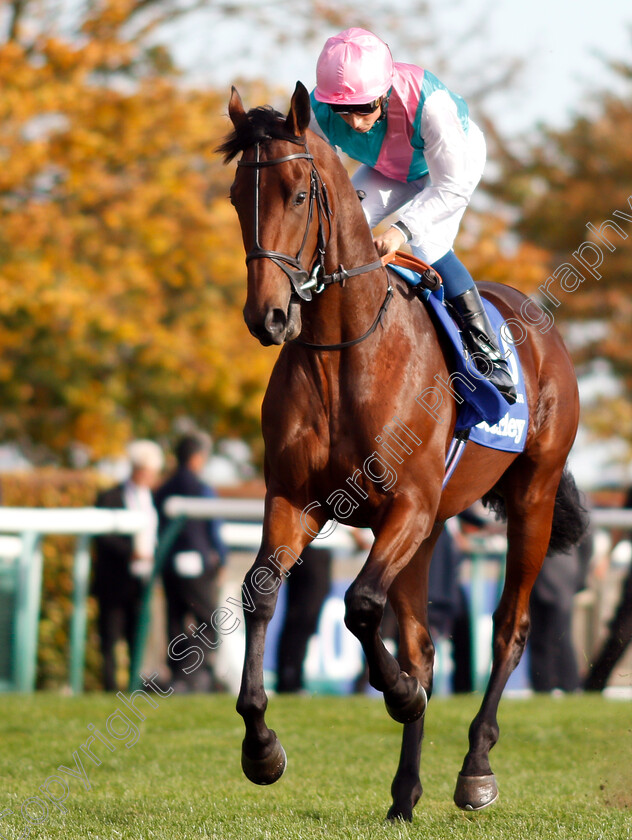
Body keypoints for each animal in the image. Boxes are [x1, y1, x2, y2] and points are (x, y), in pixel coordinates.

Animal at [218, 83, 588, 820]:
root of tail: (540, 327)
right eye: (238, 198)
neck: (344, 353)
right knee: (423, 642)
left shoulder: (409, 506)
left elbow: (360, 604)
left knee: (510, 626)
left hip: (532, 494)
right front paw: (261, 747)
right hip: (433, 531)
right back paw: (403, 794)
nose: (268, 317)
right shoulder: (296, 500)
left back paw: (475, 768)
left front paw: (396, 695)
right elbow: (259, 592)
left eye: (298, 194)